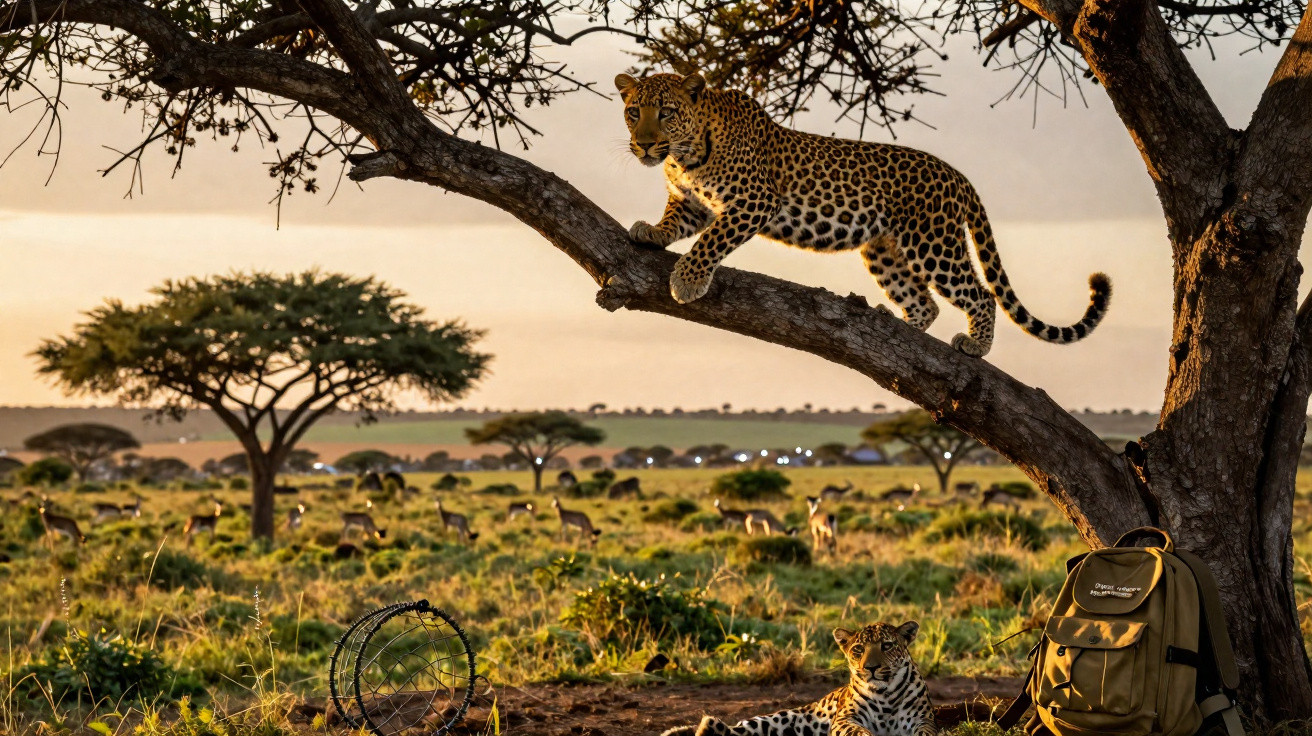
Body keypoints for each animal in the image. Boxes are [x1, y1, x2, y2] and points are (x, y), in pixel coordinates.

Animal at [615, 72, 1112, 357]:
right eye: (634, 111)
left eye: (667, 112)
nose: (643, 144)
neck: (685, 154)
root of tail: (956, 175)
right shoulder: (691, 202)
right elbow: (677, 222)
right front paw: (650, 231)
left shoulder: (755, 201)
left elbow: (711, 240)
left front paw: (687, 280)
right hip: (884, 251)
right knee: (925, 303)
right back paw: (900, 332)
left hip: (934, 243)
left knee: (980, 294)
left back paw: (975, 345)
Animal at [660, 622, 936, 736]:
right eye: (858, 649)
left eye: (887, 646)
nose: (871, 668)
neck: (885, 693)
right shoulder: (845, 719)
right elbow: (856, 730)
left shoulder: (923, 718)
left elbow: (925, 731)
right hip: (771, 721)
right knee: (730, 728)